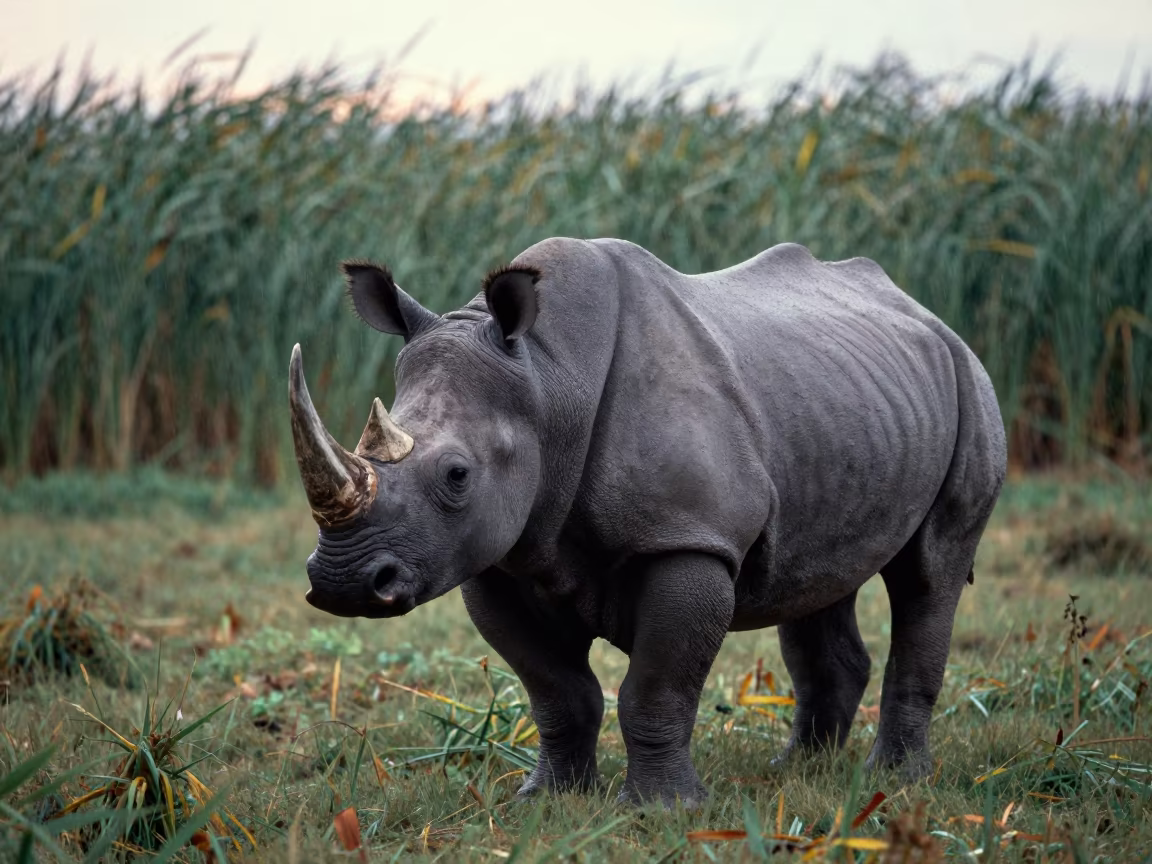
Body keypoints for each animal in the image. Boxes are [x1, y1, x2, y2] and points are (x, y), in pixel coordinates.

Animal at [289, 238, 1007, 807]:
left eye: (457, 475)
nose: (344, 584)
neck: (548, 379)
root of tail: (926, 313)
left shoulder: (688, 540)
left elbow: (655, 689)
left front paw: (662, 812)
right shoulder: (498, 555)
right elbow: (557, 692)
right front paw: (548, 802)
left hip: (970, 381)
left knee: (928, 575)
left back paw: (894, 782)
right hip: (841, 404)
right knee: (817, 576)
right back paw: (799, 773)